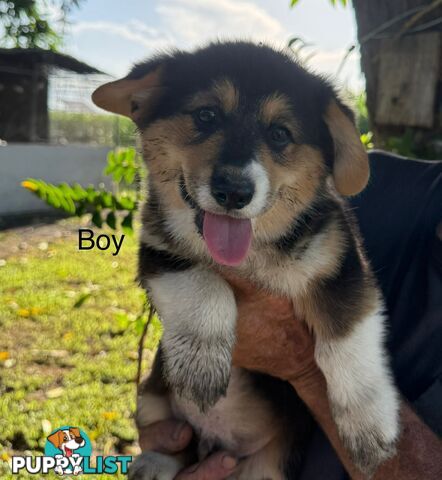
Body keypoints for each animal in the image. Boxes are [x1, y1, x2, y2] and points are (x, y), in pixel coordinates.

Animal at [93, 42, 400, 480]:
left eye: (280, 133)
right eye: (206, 115)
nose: (234, 191)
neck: (253, 252)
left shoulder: (343, 269)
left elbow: (345, 343)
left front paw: (369, 428)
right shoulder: (158, 252)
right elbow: (204, 283)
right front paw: (202, 364)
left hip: (267, 465)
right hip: (150, 394)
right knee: (173, 442)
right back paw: (155, 462)